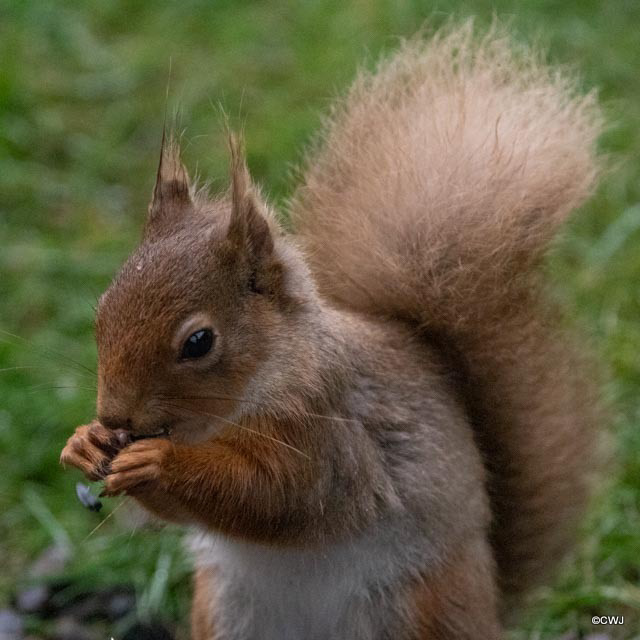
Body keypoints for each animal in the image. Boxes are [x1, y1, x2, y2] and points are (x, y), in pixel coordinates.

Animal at [57, 22, 604, 640]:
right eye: (102, 307)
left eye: (198, 342)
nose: (114, 416)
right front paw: (84, 443)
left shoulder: (328, 430)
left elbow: (282, 499)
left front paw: (157, 462)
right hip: (224, 609)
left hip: (423, 607)